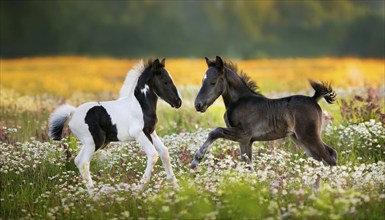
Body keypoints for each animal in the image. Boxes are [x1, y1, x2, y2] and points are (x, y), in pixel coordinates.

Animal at [48, 58, 182, 192]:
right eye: (165, 81)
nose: (178, 102)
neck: (140, 105)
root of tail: (73, 113)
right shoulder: (139, 133)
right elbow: (153, 155)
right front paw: (139, 189)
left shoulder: (151, 132)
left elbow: (164, 152)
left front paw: (176, 188)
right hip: (94, 142)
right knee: (83, 163)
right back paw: (94, 194)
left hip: (90, 143)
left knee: (77, 160)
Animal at [191, 55, 336, 169]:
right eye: (202, 80)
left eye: (213, 82)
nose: (198, 105)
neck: (240, 101)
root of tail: (313, 99)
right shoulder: (245, 140)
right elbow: (247, 164)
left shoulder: (244, 134)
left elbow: (215, 131)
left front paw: (196, 159)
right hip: (299, 138)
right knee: (321, 158)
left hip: (309, 135)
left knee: (330, 156)